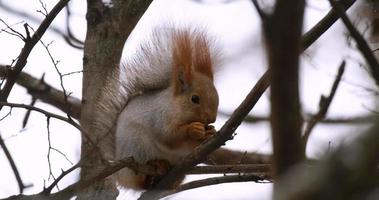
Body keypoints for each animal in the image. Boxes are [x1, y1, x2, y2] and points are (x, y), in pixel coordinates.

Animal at [116, 27, 220, 190]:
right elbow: (168, 136)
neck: (175, 106)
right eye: (194, 99)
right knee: (141, 180)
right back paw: (157, 165)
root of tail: (121, 178)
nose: (211, 119)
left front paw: (210, 132)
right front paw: (193, 130)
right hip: (136, 148)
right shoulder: (159, 116)